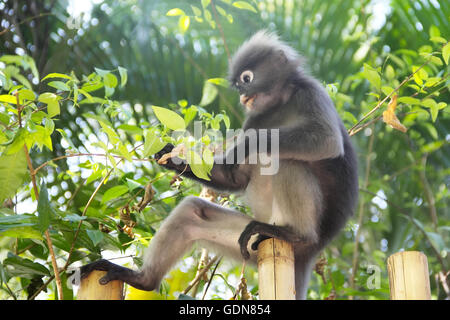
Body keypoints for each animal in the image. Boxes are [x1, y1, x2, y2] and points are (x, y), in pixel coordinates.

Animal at [79, 30, 356, 300]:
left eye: (247, 78)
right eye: (237, 86)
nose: (243, 96)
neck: (280, 104)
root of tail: (312, 250)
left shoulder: (310, 93)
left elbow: (327, 141)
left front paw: (246, 145)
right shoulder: (255, 118)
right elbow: (234, 179)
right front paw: (172, 157)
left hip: (301, 231)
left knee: (286, 159)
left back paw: (296, 232)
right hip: (250, 245)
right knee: (191, 212)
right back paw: (141, 279)